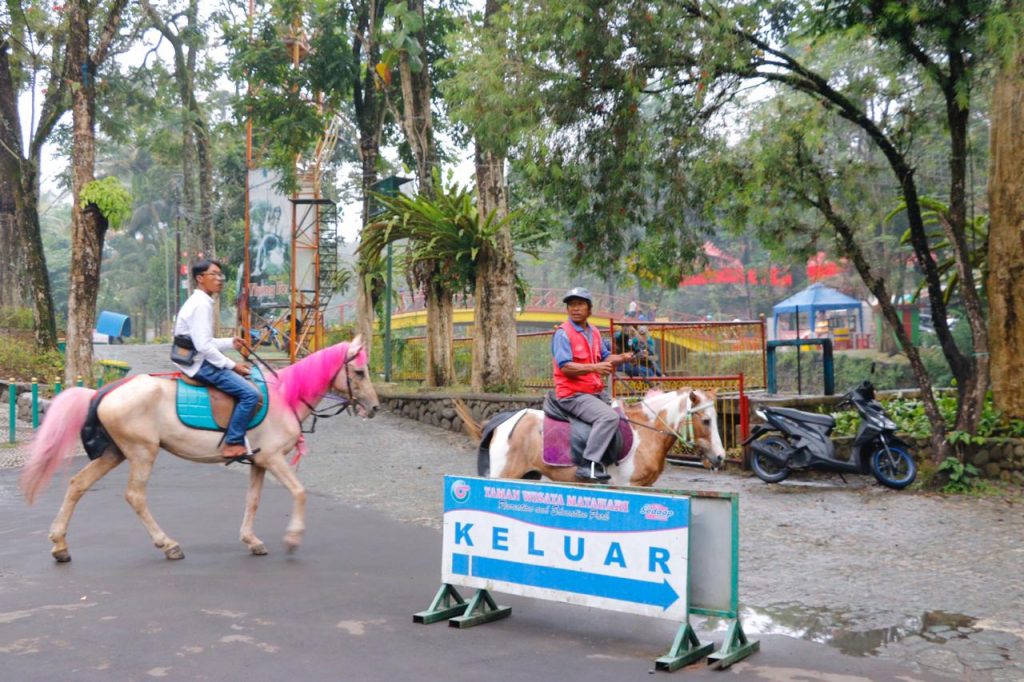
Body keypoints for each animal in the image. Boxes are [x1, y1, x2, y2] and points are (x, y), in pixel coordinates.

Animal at [19, 335, 378, 561]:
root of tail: (103, 390)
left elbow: (253, 501)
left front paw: (252, 540)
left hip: (114, 453)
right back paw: (168, 545)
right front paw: (292, 538)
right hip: (142, 453)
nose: (374, 407)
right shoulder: (274, 458)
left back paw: (60, 545)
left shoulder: (259, 462)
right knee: (135, 496)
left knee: (77, 484)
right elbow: (300, 493)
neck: (285, 396)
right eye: (359, 371)